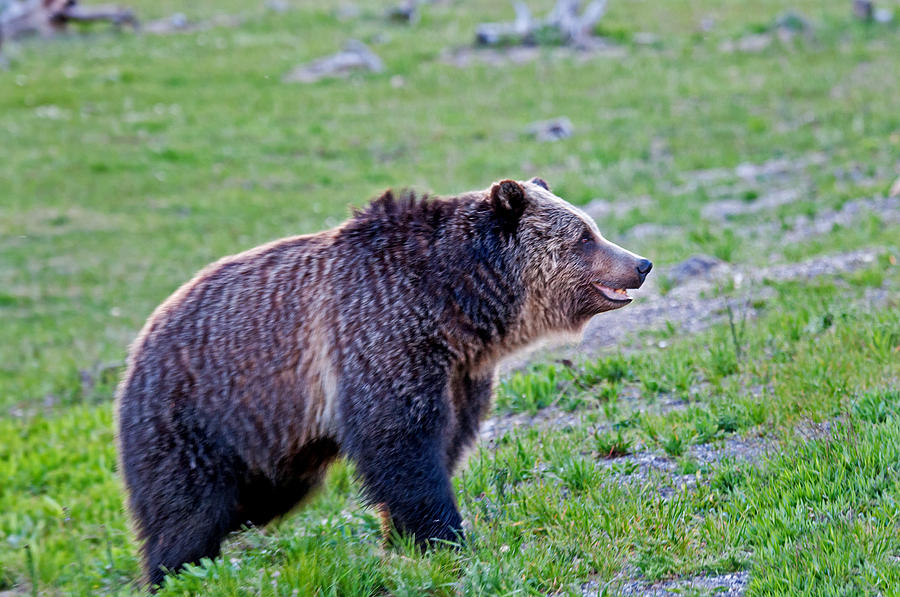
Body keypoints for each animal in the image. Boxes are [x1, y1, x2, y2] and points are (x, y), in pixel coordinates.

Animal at [116, 177, 652, 588]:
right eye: (584, 235)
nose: (641, 263)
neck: (453, 305)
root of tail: (140, 342)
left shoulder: (459, 373)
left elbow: (443, 443)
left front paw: (404, 538)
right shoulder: (380, 333)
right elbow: (400, 443)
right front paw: (445, 536)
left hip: (267, 443)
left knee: (256, 498)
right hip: (195, 411)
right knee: (185, 509)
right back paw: (175, 572)